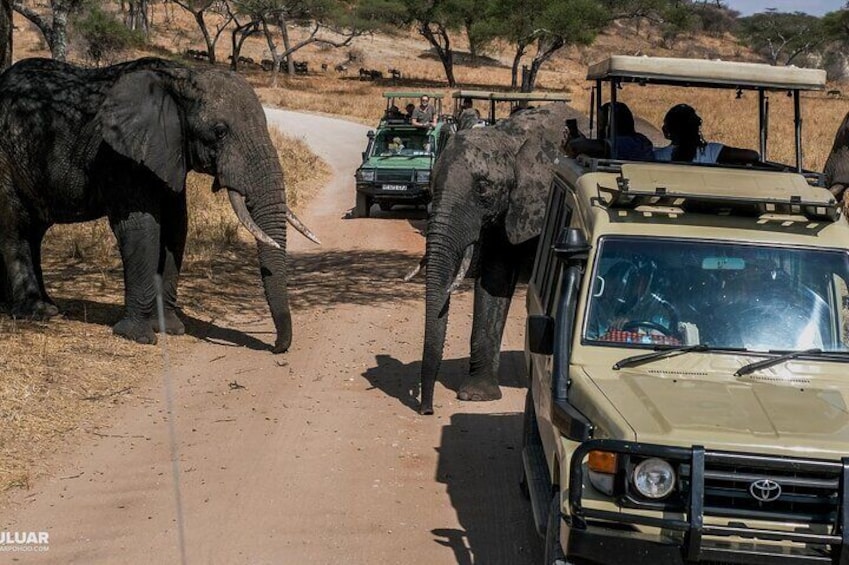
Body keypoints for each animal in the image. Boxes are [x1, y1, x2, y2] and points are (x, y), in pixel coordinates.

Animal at [0, 55, 316, 350]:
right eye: (220, 131)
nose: (277, 347)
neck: (181, 76)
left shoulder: (169, 153)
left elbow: (177, 227)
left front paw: (170, 329)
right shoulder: (120, 155)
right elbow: (142, 230)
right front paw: (137, 336)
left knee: (34, 232)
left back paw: (44, 307)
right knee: (16, 229)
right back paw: (36, 313)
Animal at [418, 101, 664, 412]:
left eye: (483, 188)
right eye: (430, 184)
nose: (427, 409)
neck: (509, 138)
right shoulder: (508, 210)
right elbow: (495, 279)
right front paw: (476, 395)